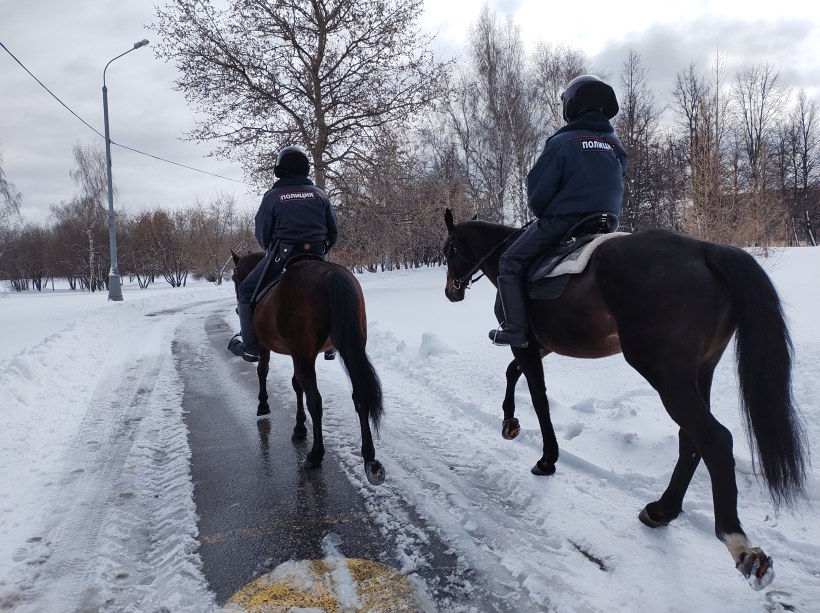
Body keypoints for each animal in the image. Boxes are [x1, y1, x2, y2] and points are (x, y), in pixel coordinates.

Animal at [230, 250, 385, 485]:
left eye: (235, 275)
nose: (237, 304)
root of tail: (330, 274)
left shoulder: (272, 348)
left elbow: (263, 371)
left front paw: (263, 405)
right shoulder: (298, 355)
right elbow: (296, 385)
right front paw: (299, 427)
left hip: (303, 353)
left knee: (316, 401)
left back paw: (315, 455)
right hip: (348, 347)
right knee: (359, 397)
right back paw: (369, 458)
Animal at [442, 208, 807, 589]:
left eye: (447, 249)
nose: (451, 291)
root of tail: (707, 250)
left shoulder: (524, 343)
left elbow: (538, 398)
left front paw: (546, 458)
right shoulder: (539, 345)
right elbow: (512, 373)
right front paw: (509, 421)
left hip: (665, 373)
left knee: (715, 438)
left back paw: (740, 546)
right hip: (699, 370)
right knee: (691, 438)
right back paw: (661, 510)